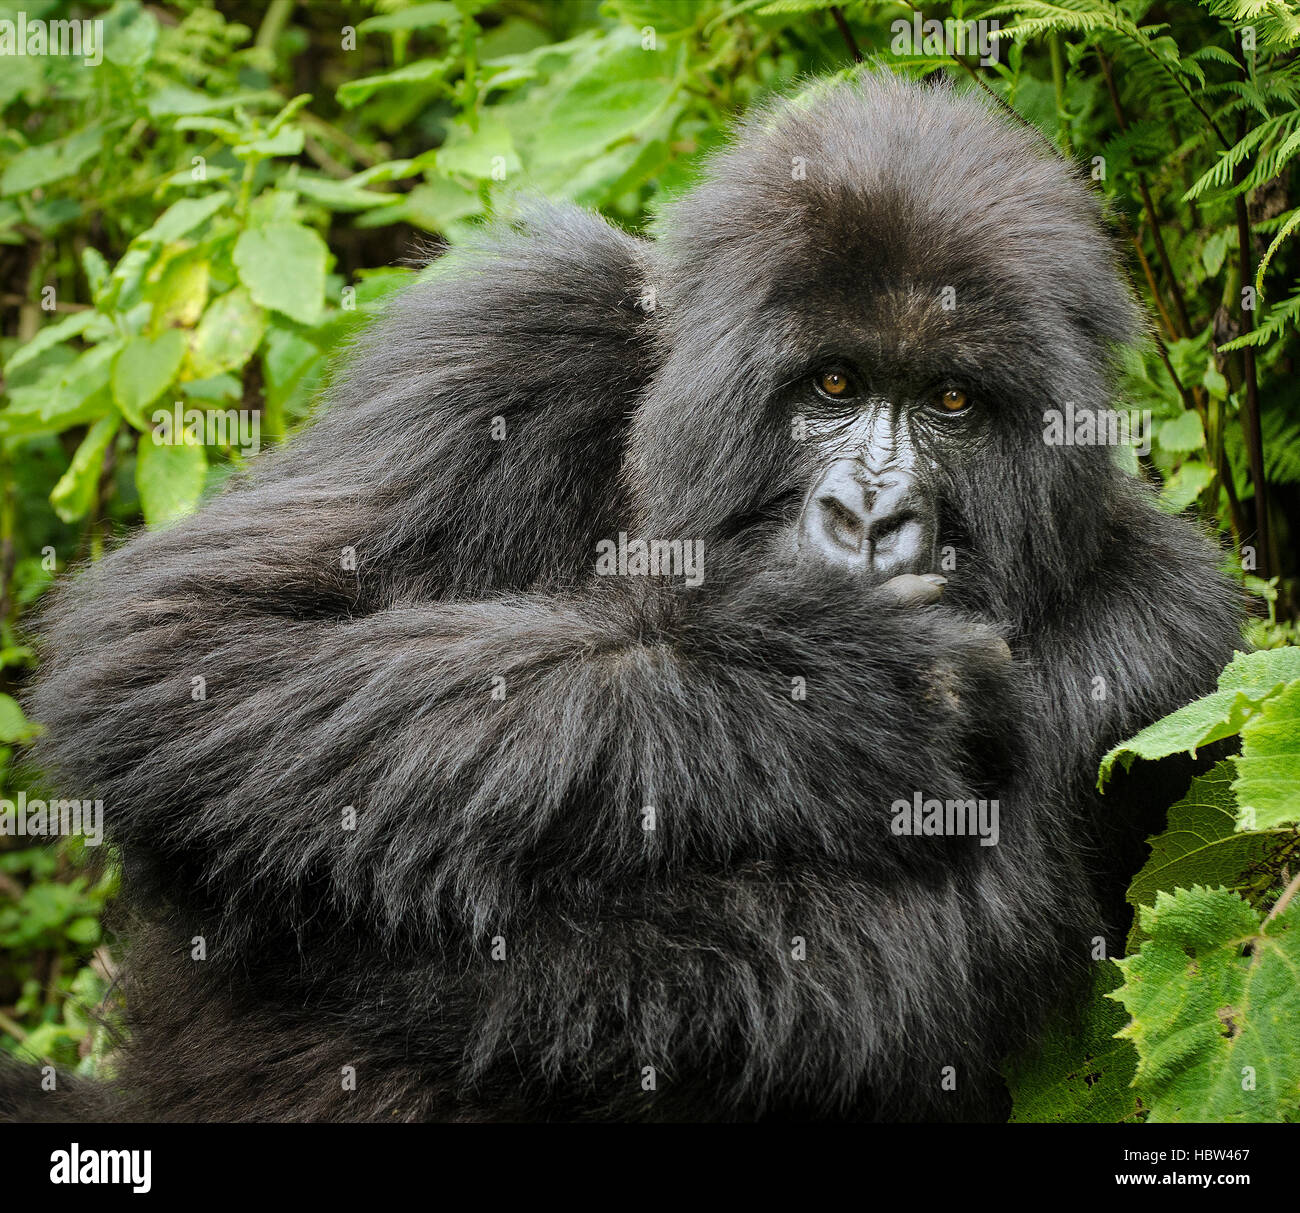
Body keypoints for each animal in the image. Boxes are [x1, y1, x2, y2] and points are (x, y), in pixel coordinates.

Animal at [2, 70, 1237, 1123]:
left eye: (950, 403)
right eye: (833, 384)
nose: (872, 518)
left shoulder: (1168, 645)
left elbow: (875, 958)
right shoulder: (513, 338)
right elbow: (185, 643)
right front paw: (831, 685)